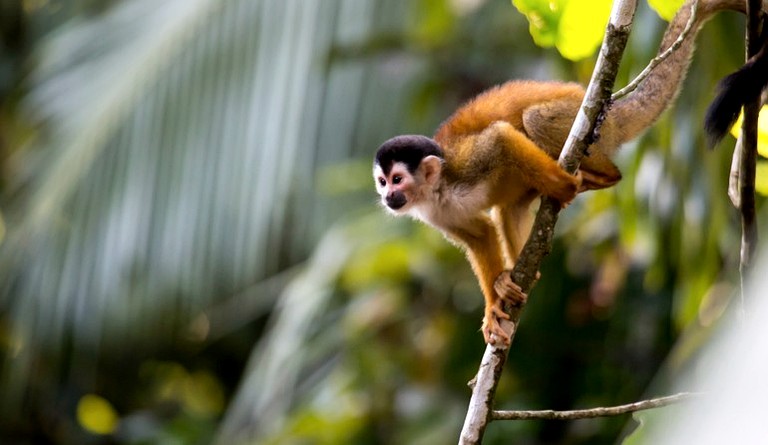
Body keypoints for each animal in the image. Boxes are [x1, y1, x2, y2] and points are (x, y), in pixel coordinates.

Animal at [376, 0, 760, 344]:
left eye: (397, 180)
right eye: (382, 182)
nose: (388, 197)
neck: (437, 189)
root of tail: (611, 109)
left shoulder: (466, 163)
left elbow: (499, 138)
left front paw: (564, 186)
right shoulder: (434, 215)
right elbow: (480, 235)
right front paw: (493, 304)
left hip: (585, 121)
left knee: (535, 119)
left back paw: (599, 177)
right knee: (508, 209)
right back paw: (520, 275)